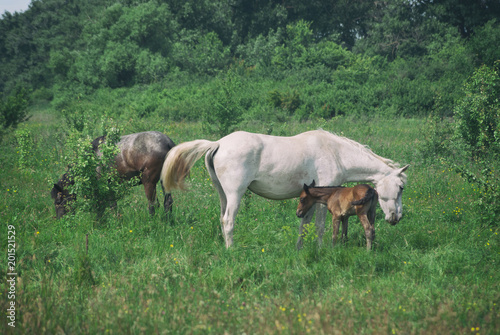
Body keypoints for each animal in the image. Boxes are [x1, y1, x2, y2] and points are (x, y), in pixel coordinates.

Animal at [160, 131, 406, 249]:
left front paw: (300, 249)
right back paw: (232, 250)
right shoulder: (323, 199)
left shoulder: (308, 199)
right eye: (401, 187)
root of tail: (218, 143)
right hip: (235, 194)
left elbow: (303, 225)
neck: (335, 152)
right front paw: (321, 249)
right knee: (229, 221)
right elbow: (319, 226)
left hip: (222, 194)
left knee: (222, 219)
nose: (397, 217)